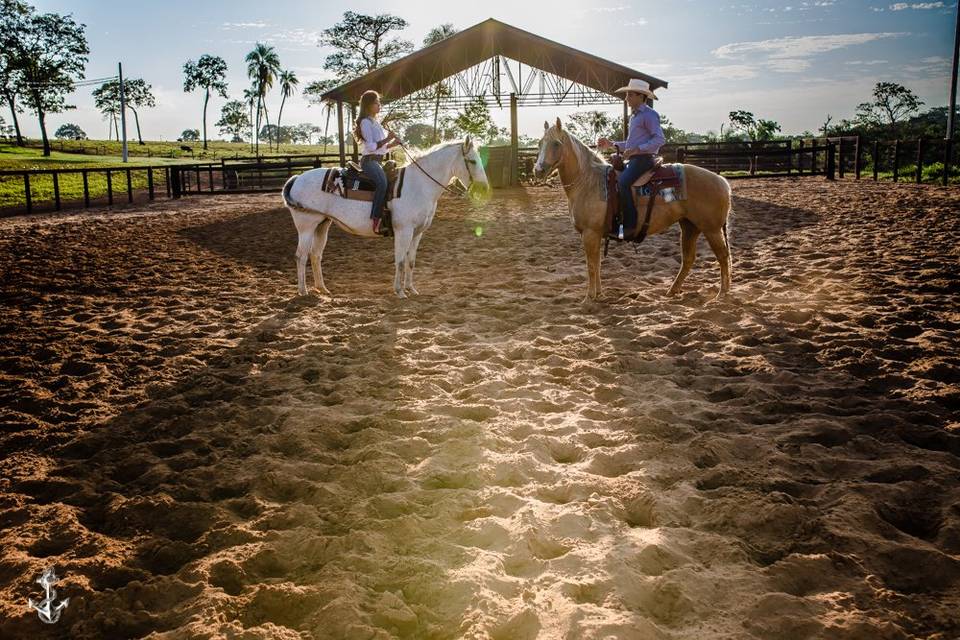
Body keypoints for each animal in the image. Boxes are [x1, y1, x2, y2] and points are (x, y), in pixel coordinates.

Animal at [280, 138, 488, 298]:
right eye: (472, 161)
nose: (484, 189)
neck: (419, 185)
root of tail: (296, 178)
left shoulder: (417, 233)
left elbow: (411, 261)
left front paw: (411, 289)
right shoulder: (403, 231)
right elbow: (400, 260)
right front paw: (400, 291)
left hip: (323, 224)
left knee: (315, 255)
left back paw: (322, 288)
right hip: (306, 227)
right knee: (301, 256)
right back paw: (303, 291)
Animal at [532, 119, 736, 302]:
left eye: (556, 144)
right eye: (540, 143)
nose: (538, 170)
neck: (588, 182)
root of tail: (722, 181)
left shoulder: (590, 233)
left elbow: (591, 266)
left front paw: (589, 298)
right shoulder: (595, 234)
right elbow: (597, 264)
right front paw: (599, 294)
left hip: (711, 229)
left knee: (723, 256)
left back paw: (722, 293)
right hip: (689, 226)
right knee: (688, 259)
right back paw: (672, 291)